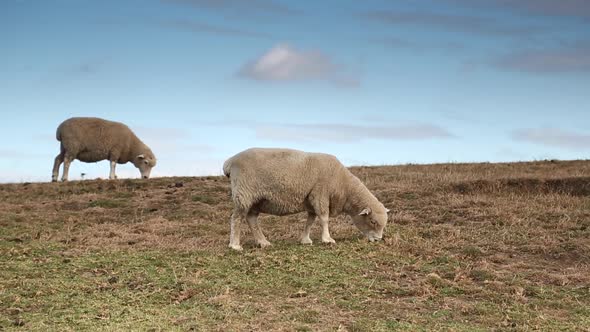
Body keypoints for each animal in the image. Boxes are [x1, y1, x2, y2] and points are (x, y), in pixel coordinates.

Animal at [224, 147, 390, 250]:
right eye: (373, 221)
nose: (378, 240)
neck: (343, 186)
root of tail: (230, 162)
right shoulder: (320, 194)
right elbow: (324, 218)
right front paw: (327, 239)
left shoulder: (310, 200)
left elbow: (310, 221)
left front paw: (305, 240)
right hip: (244, 193)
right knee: (236, 218)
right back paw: (235, 245)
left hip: (256, 200)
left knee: (251, 219)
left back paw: (263, 242)